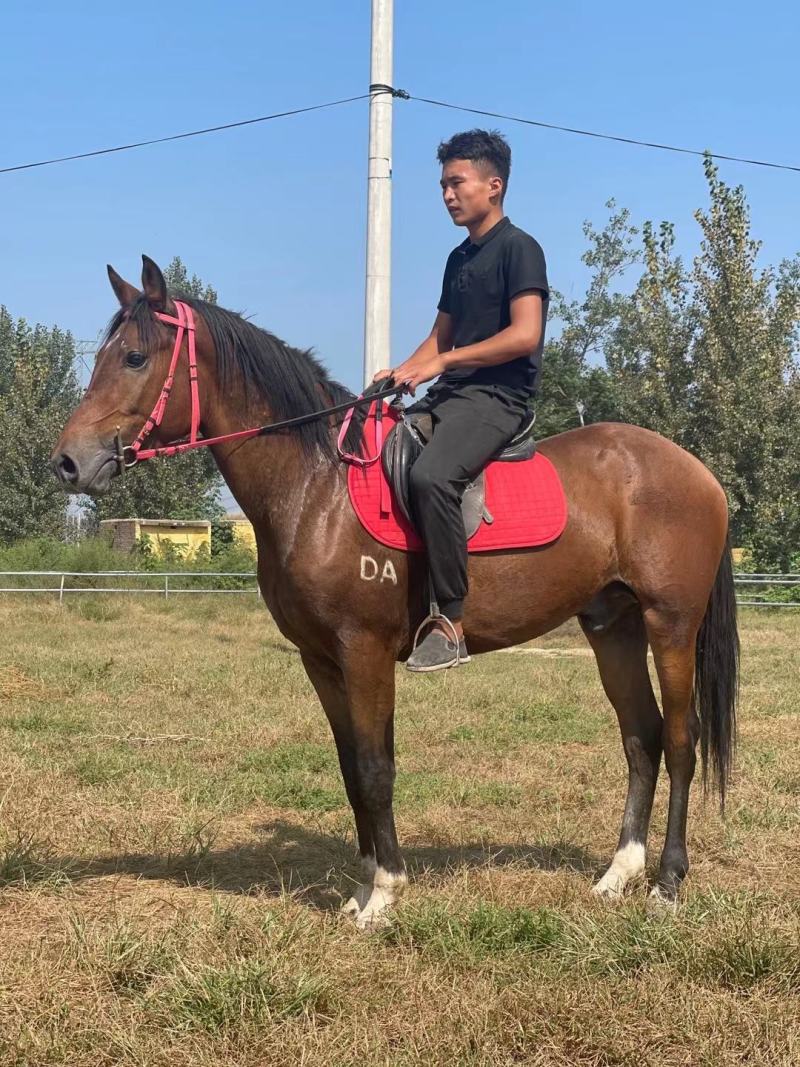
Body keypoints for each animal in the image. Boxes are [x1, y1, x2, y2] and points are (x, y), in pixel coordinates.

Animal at [52, 256, 739, 928]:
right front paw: (365, 885)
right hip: (612, 627)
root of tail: (698, 472)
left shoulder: (365, 650)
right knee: (642, 737)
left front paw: (383, 894)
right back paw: (618, 874)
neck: (317, 484)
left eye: (134, 357)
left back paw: (667, 883)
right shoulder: (321, 659)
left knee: (681, 740)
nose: (68, 463)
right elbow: (352, 765)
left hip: (669, 624)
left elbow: (376, 767)